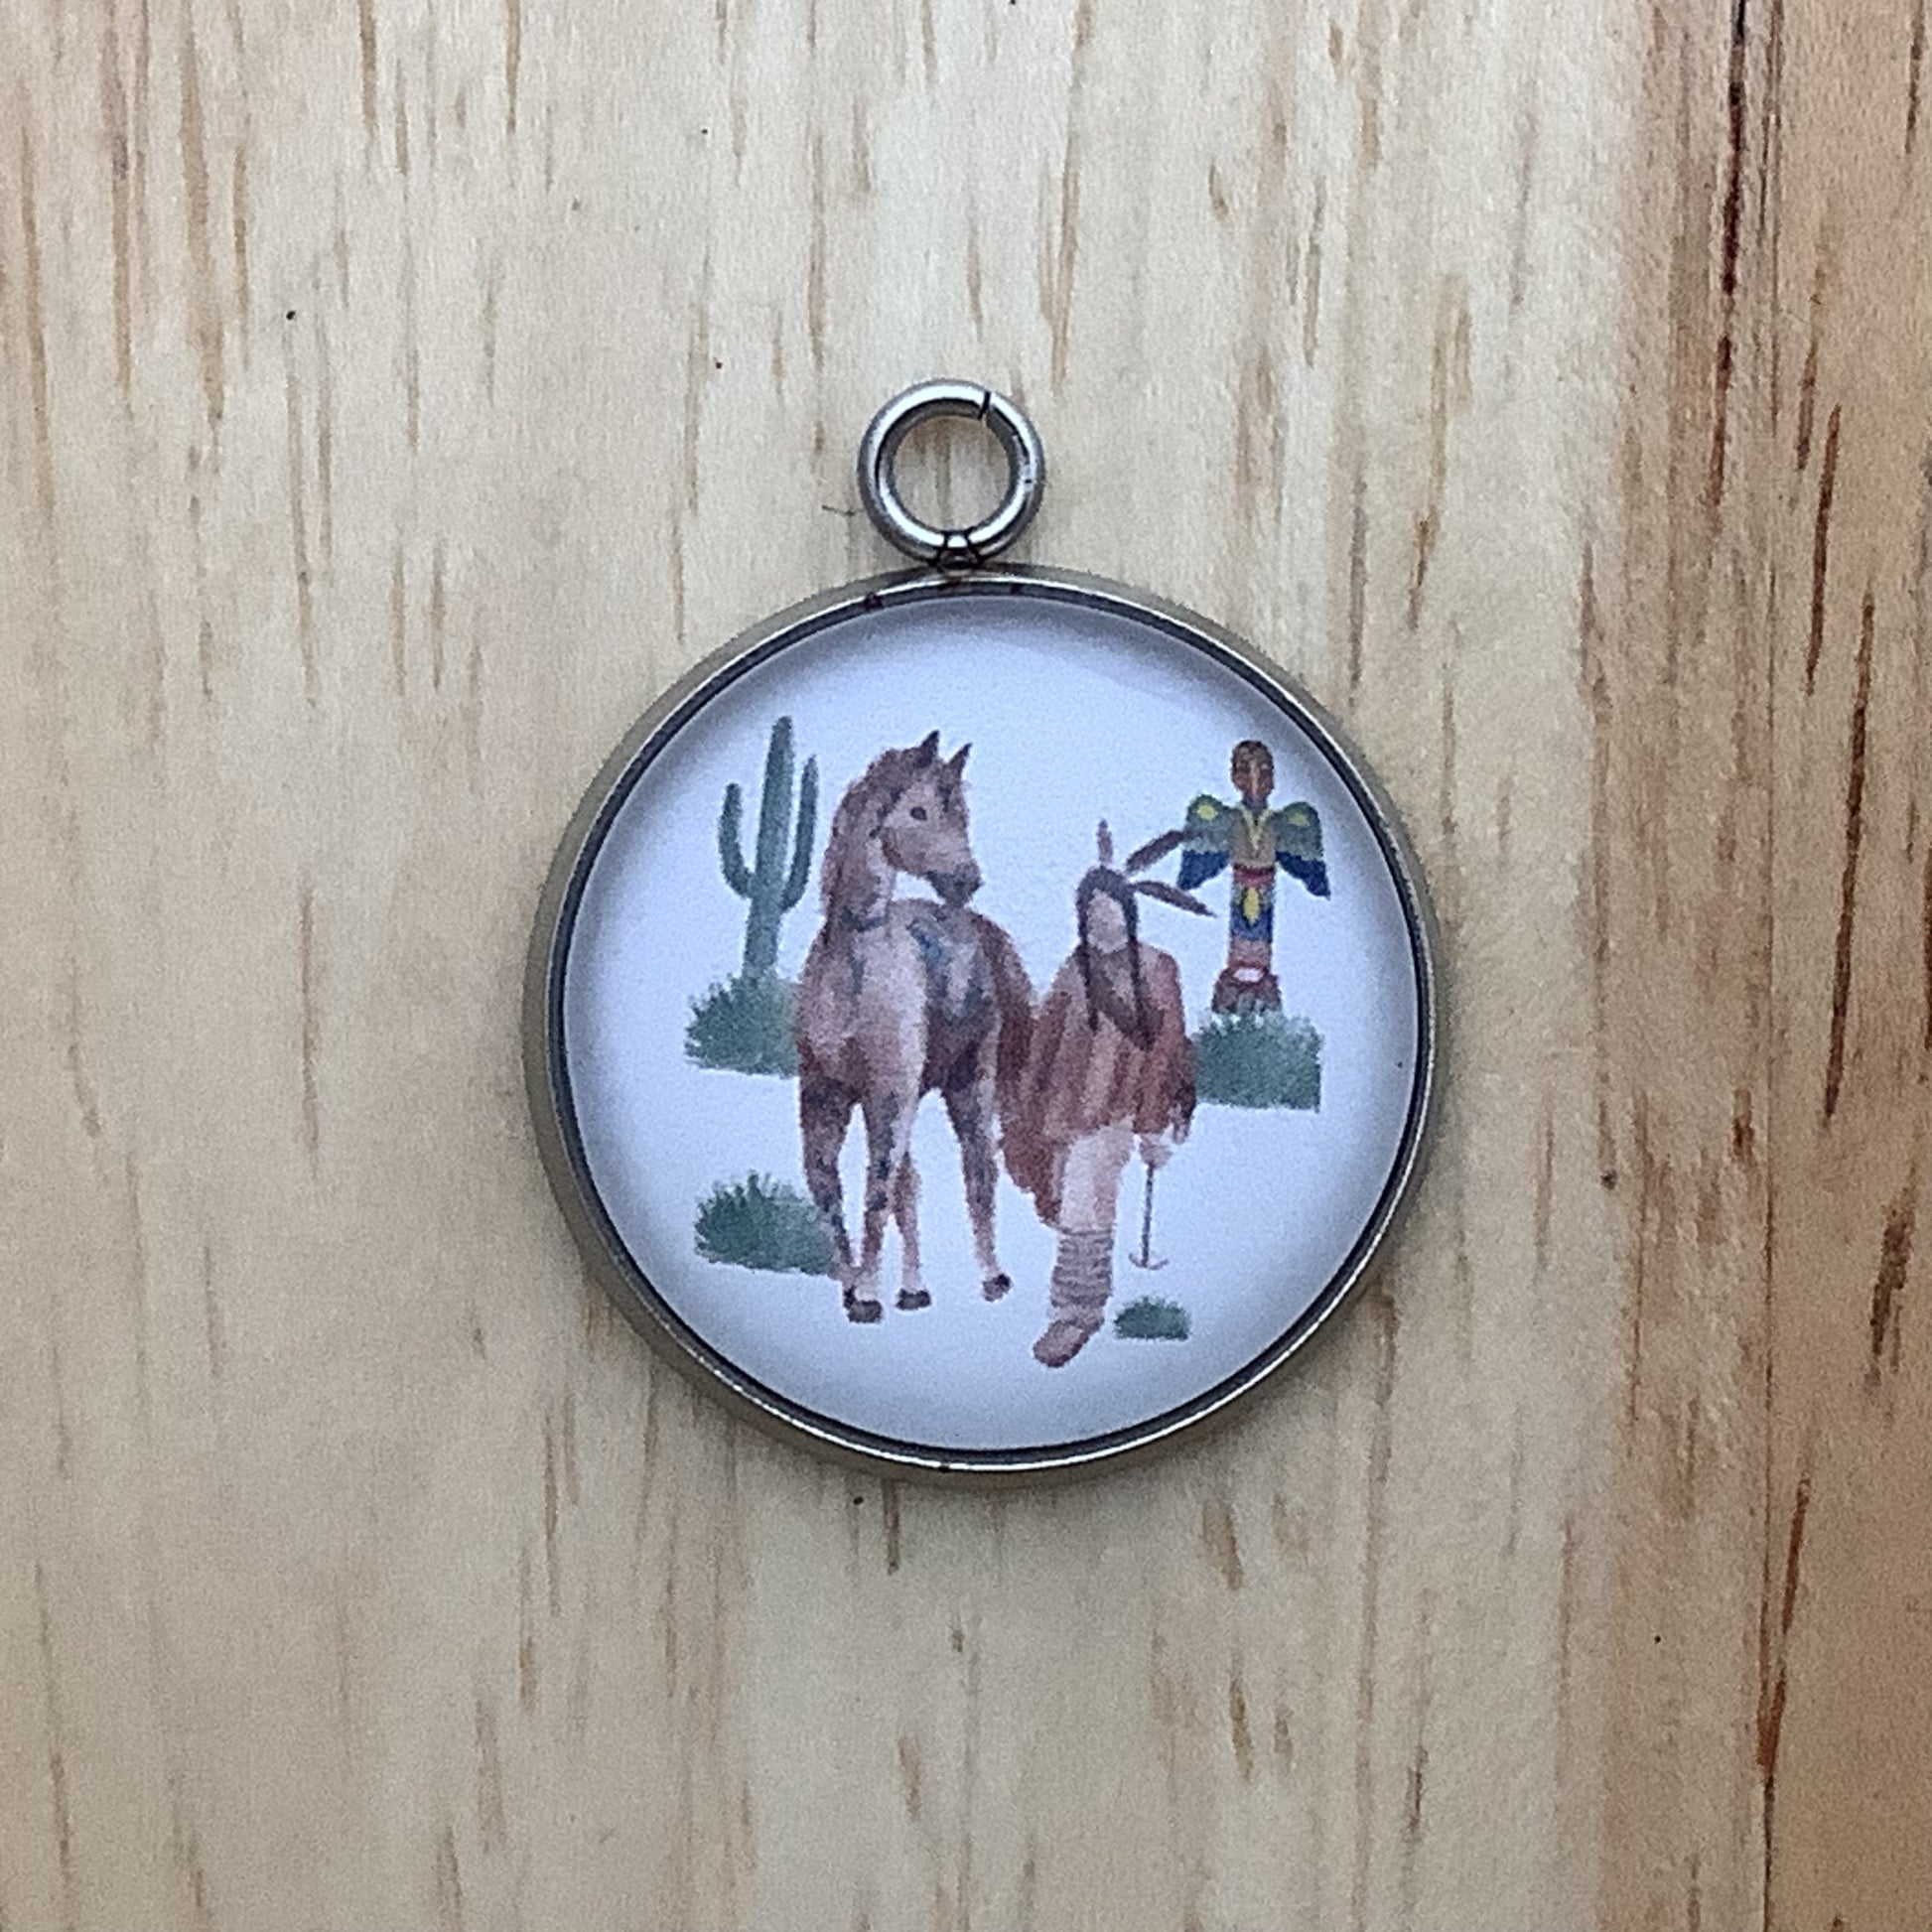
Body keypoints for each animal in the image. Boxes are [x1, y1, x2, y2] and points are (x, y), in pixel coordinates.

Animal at [791, 730, 1035, 1321]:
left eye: (962, 813)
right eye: (919, 810)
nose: (967, 880)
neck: (853, 968)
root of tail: (980, 929)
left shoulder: (888, 1092)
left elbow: (876, 1191)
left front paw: (864, 1294)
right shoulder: (826, 1091)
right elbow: (827, 1183)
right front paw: (854, 1289)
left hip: (968, 1081)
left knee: (977, 1171)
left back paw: (992, 1277)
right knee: (910, 1182)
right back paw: (913, 1290)